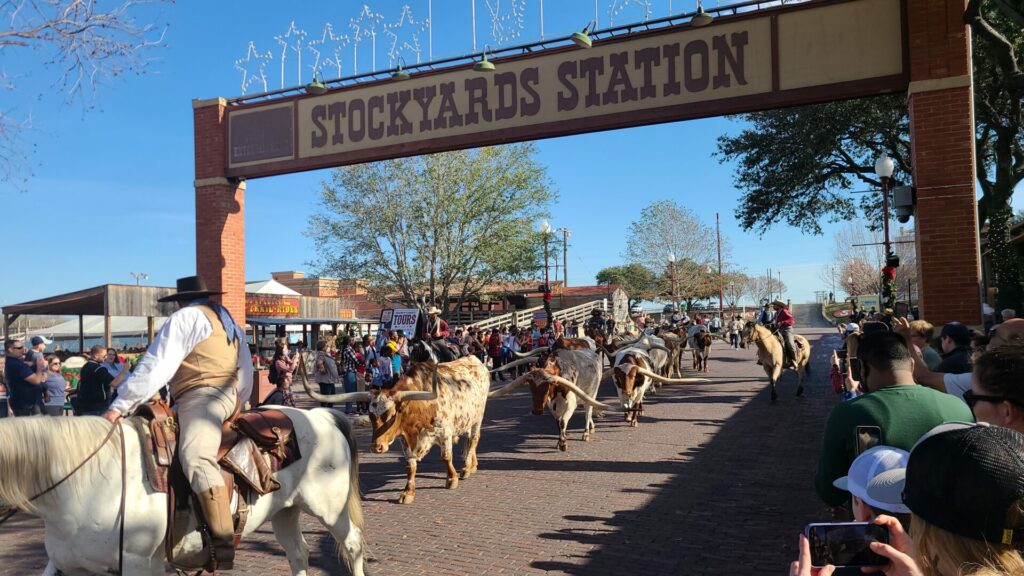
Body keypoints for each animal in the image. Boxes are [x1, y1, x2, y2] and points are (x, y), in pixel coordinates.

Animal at [0, 405, 368, 569]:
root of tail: (321, 414)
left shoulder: (137, 565)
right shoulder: (66, 565)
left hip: (330, 510)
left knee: (352, 546)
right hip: (286, 512)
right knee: (297, 553)